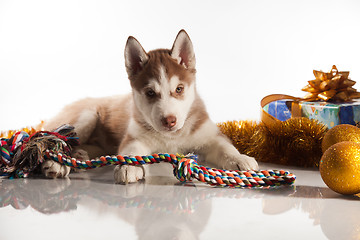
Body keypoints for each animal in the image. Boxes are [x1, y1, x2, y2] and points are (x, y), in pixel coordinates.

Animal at [43, 30, 258, 184]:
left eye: (179, 89)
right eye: (150, 93)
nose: (169, 121)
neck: (172, 138)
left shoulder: (210, 136)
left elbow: (225, 147)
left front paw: (240, 159)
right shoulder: (133, 138)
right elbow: (132, 153)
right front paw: (129, 167)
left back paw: (79, 155)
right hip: (86, 117)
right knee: (58, 139)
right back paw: (57, 164)